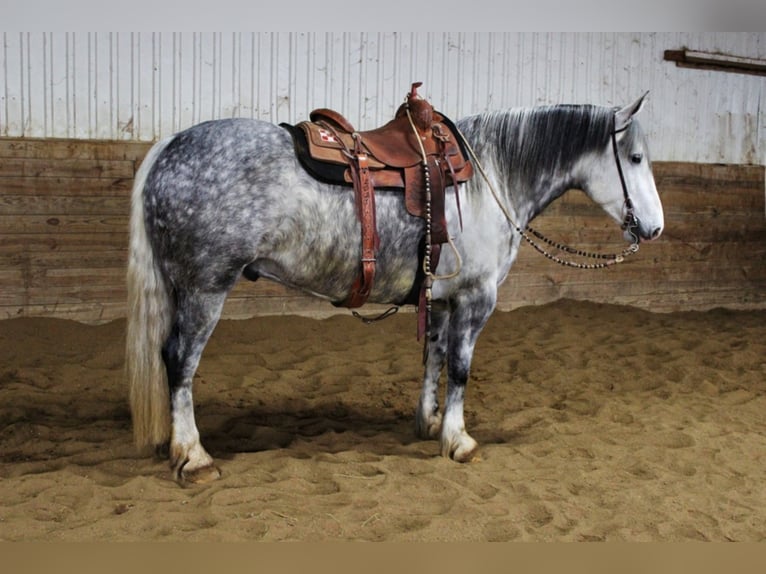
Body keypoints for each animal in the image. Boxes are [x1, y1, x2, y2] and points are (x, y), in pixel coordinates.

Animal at [126, 92, 664, 484]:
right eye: (636, 157)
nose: (655, 228)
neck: (490, 176)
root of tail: (169, 145)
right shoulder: (476, 299)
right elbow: (461, 368)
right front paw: (459, 440)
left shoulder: (442, 300)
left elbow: (433, 359)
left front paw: (429, 424)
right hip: (205, 288)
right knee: (179, 361)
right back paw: (194, 456)